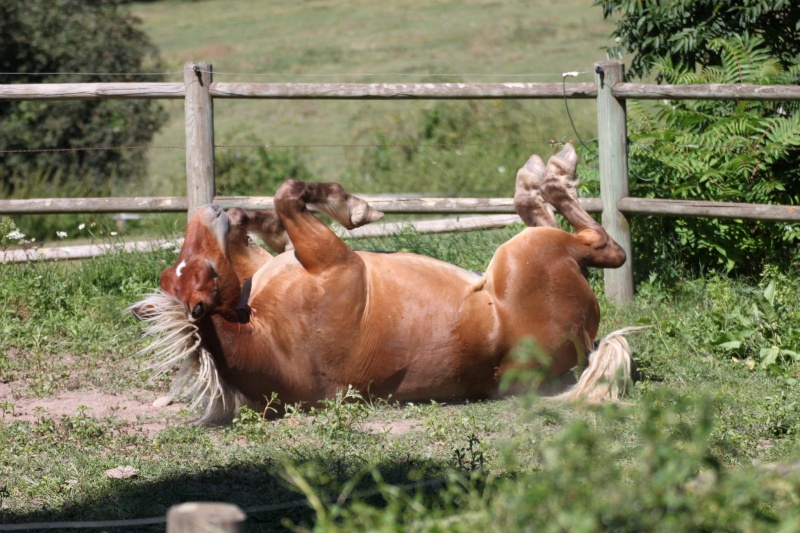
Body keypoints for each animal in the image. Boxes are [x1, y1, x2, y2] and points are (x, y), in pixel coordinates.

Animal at [134, 143, 640, 422]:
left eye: (192, 271)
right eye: (209, 274)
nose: (206, 210)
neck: (272, 338)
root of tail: (587, 341)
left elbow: (263, 214)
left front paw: (262, 223)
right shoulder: (331, 257)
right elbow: (288, 193)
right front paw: (354, 207)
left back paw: (542, 175)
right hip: (529, 255)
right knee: (599, 244)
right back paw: (551, 174)